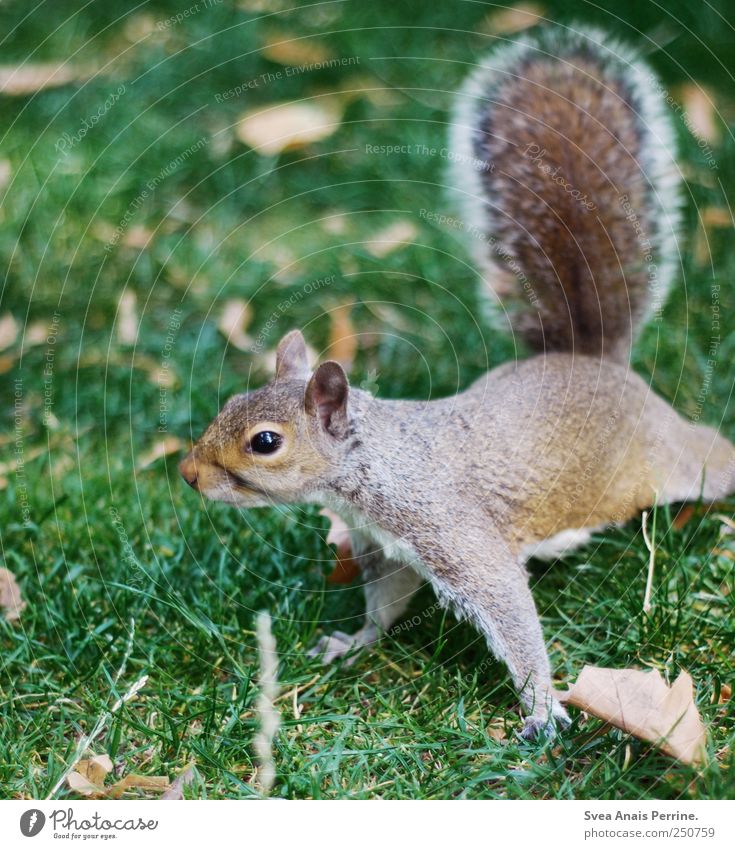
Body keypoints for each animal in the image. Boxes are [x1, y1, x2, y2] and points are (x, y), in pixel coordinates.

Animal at [178, 26, 735, 740]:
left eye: (265, 442)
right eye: (230, 402)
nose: (189, 474)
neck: (374, 468)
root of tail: (594, 362)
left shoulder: (455, 533)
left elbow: (507, 608)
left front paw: (543, 709)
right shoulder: (389, 549)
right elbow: (386, 603)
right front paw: (354, 643)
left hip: (669, 460)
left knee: (712, 459)